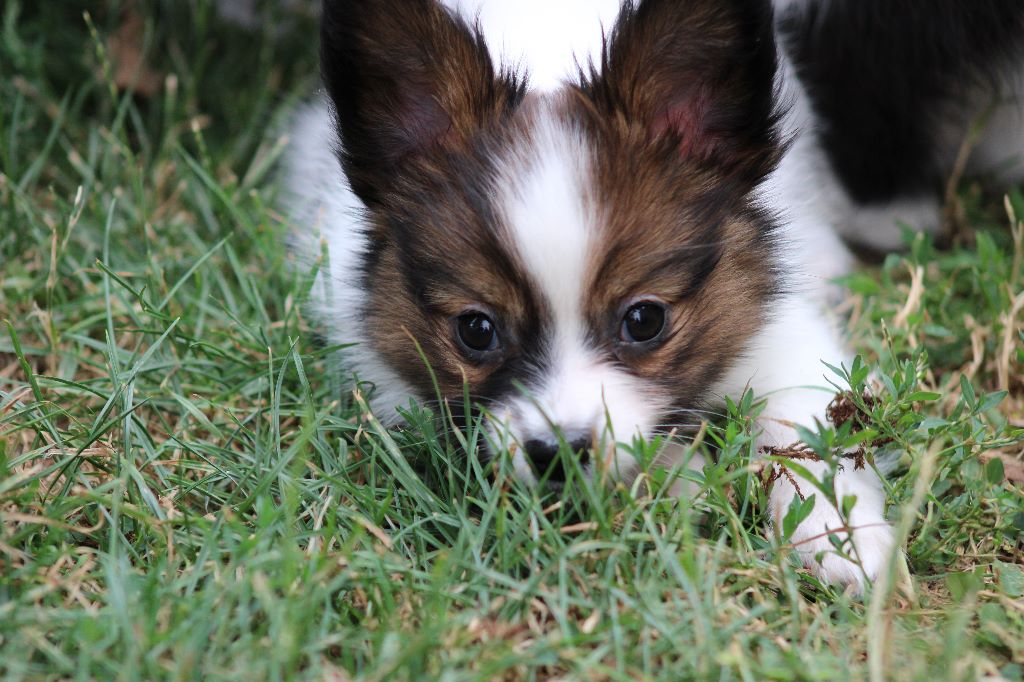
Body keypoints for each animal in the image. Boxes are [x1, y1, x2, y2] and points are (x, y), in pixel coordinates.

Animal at [284, 0, 1024, 589]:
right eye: (476, 330)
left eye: (644, 320)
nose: (559, 453)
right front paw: (682, 478)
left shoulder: (779, 329)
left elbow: (801, 436)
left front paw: (840, 537)